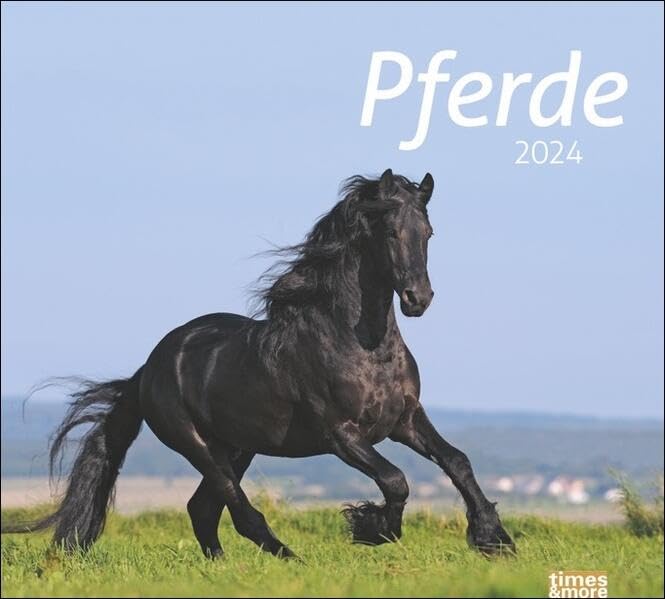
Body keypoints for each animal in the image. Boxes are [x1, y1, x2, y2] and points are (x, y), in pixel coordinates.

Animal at [2, 169, 515, 558]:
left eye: (427, 233)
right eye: (390, 232)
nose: (417, 299)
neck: (362, 345)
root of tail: (149, 368)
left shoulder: (404, 420)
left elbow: (457, 461)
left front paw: (494, 540)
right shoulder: (342, 435)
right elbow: (396, 480)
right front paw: (373, 528)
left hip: (238, 447)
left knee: (203, 509)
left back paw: (223, 567)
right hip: (198, 446)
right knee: (237, 510)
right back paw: (290, 559)